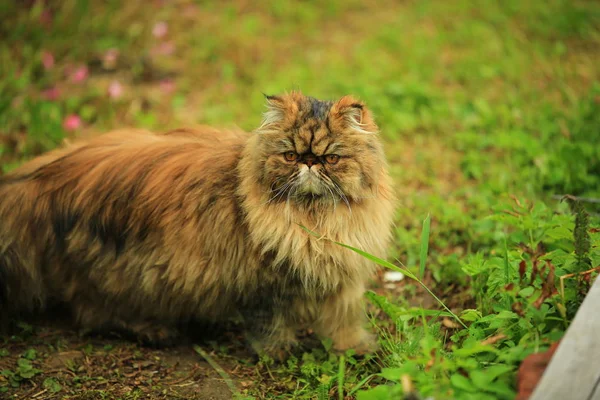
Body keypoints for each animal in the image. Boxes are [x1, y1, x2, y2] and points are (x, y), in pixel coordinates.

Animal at [1, 93, 398, 356]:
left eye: (331, 159)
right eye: (289, 155)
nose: (309, 162)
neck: (316, 222)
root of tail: (42, 179)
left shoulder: (344, 282)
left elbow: (344, 323)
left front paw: (356, 351)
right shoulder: (262, 287)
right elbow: (270, 330)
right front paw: (280, 355)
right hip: (125, 276)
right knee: (93, 314)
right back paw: (156, 331)